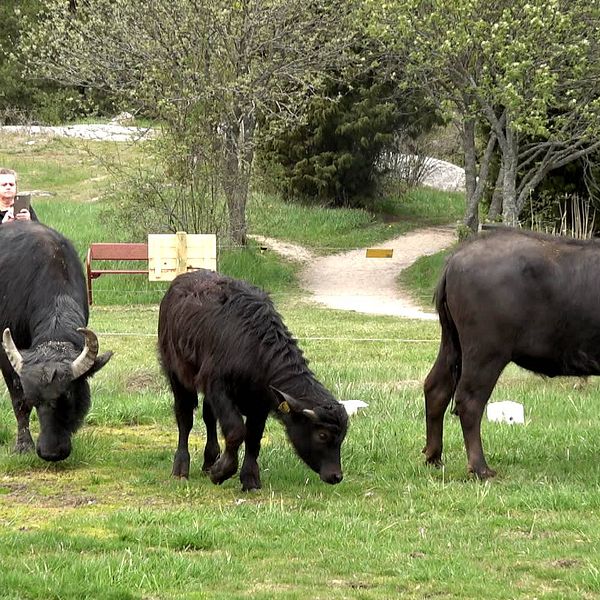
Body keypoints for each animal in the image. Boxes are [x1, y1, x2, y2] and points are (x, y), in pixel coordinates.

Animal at [157, 270, 350, 490]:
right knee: (185, 418)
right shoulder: (219, 389)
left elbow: (253, 438)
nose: (336, 476)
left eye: (342, 436)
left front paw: (249, 479)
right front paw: (221, 472)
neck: (255, 352)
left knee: (209, 417)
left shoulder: (260, 403)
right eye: (322, 435)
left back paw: (209, 461)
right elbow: (236, 431)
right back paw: (181, 468)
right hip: (176, 374)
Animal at [424, 227, 600, 480]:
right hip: (485, 353)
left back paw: (434, 456)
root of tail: (456, 259)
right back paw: (480, 468)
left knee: (436, 388)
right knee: (469, 401)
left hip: (451, 344)